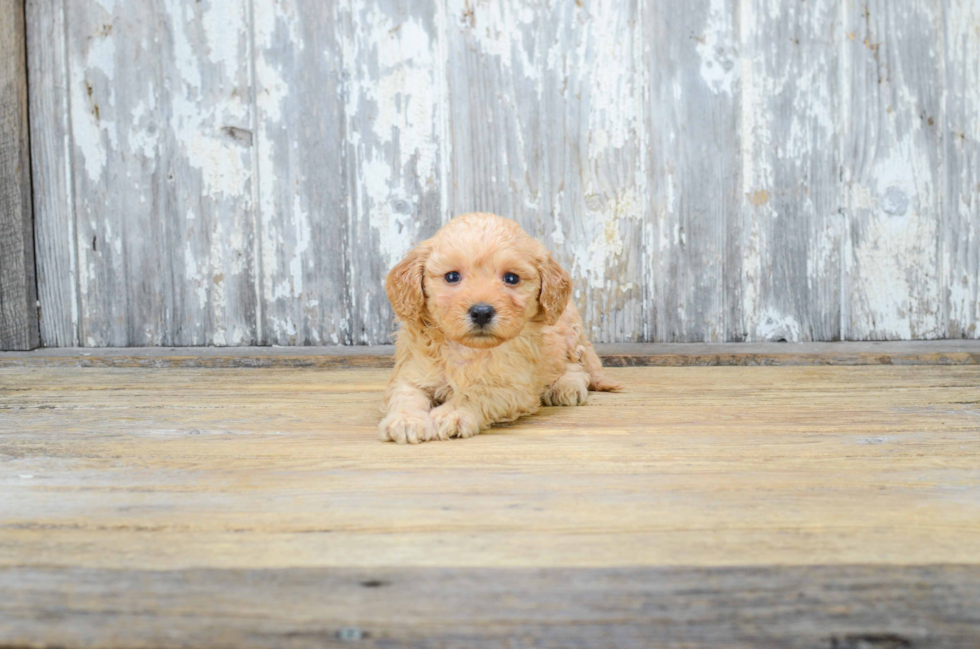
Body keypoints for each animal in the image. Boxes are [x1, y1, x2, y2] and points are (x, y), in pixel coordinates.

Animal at [380, 210, 620, 442]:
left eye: (511, 278)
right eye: (452, 276)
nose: (481, 312)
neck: (468, 349)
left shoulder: (513, 387)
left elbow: (477, 392)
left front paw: (453, 413)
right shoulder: (412, 373)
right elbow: (406, 395)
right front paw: (406, 420)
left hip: (569, 335)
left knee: (576, 366)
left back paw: (566, 386)